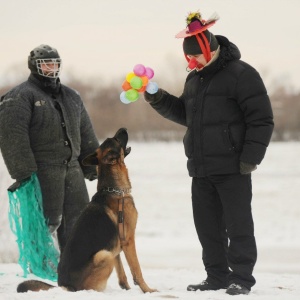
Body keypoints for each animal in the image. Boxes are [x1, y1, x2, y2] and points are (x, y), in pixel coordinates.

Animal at [17, 128, 157, 292]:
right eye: (116, 139)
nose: (123, 129)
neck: (114, 190)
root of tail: (65, 287)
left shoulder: (116, 247)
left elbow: (122, 273)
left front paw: (127, 289)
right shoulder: (128, 241)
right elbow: (137, 270)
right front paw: (148, 291)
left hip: (108, 253)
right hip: (103, 255)